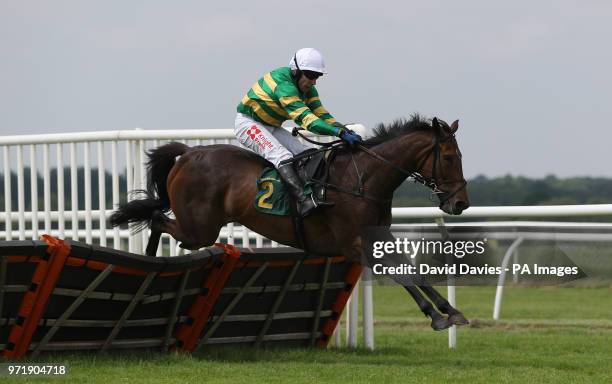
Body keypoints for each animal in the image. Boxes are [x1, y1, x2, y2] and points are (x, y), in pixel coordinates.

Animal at [110, 115, 470, 330]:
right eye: (449, 157)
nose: (460, 203)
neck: (363, 179)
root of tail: (187, 153)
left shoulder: (380, 237)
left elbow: (412, 270)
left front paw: (450, 311)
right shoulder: (353, 245)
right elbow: (400, 273)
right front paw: (436, 316)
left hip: (199, 228)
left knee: (161, 221)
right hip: (200, 228)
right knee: (159, 220)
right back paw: (151, 262)